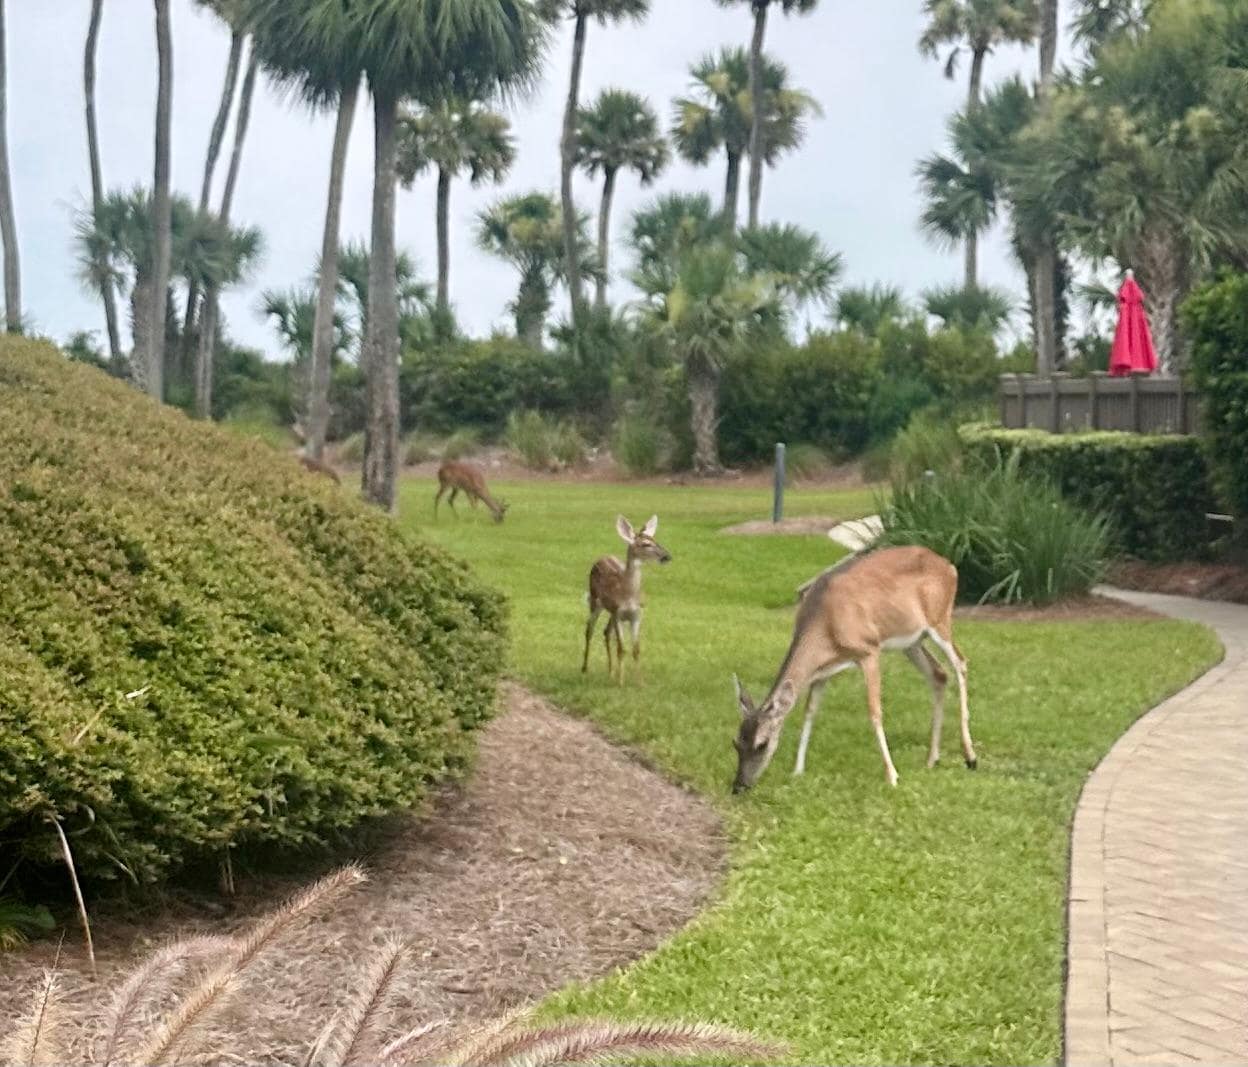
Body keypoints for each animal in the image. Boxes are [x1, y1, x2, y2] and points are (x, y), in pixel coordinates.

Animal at [582, 515, 672, 685]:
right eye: (645, 544)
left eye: (655, 540)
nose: (667, 556)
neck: (629, 595)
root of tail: (602, 557)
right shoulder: (618, 613)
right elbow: (621, 649)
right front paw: (621, 681)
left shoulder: (636, 615)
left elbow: (636, 649)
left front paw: (640, 682)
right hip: (595, 601)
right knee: (589, 629)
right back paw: (584, 668)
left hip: (610, 610)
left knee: (606, 631)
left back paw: (610, 671)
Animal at [731, 545, 976, 793]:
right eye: (736, 743)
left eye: (762, 744)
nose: (739, 786)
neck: (825, 625)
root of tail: (948, 565)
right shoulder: (822, 672)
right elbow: (810, 711)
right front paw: (797, 771)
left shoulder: (869, 650)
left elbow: (875, 712)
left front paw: (892, 776)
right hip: (911, 642)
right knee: (939, 674)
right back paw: (932, 759)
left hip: (939, 619)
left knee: (960, 663)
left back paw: (970, 757)